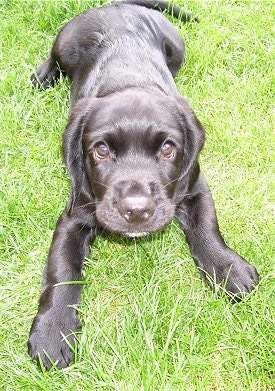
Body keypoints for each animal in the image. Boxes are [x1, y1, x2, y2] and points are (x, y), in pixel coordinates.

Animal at [28, 0, 258, 370]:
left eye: (167, 149)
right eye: (101, 150)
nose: (136, 210)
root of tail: (118, 5)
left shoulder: (194, 184)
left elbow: (207, 227)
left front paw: (228, 270)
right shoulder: (75, 213)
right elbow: (62, 269)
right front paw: (53, 332)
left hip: (177, 47)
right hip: (66, 42)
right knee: (54, 57)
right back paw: (42, 76)